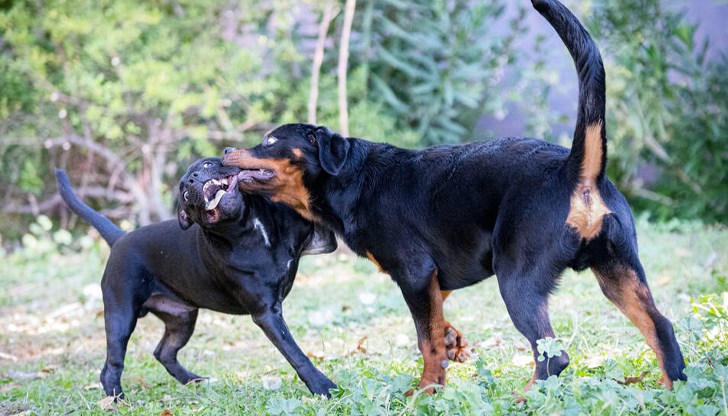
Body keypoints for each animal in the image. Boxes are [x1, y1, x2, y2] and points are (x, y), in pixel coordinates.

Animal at [54, 158, 338, 398]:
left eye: (208, 164)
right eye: (183, 191)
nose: (192, 180)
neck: (248, 229)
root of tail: (119, 238)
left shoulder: (319, 239)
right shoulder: (266, 312)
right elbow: (295, 353)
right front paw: (322, 386)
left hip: (182, 319)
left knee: (163, 352)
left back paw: (193, 380)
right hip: (121, 317)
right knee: (112, 364)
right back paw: (116, 399)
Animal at [219, 0, 684, 394]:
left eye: (270, 141)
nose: (224, 151)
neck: (351, 178)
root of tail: (575, 169)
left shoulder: (414, 273)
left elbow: (426, 341)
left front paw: (426, 391)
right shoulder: (433, 282)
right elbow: (436, 330)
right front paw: (450, 350)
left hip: (518, 278)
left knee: (553, 355)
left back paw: (524, 398)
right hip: (618, 269)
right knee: (661, 327)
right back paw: (671, 388)